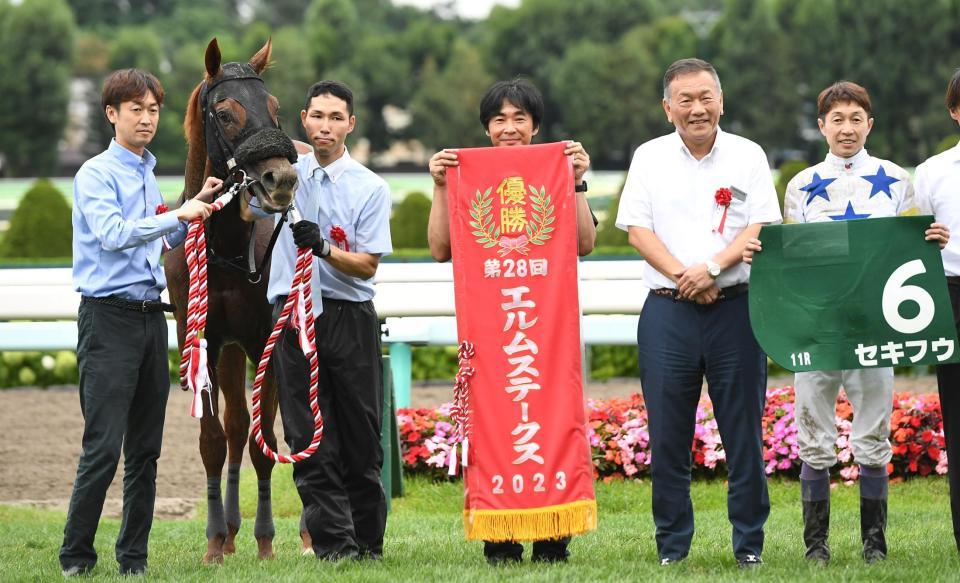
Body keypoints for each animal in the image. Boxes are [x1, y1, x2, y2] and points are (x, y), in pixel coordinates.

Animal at [165, 38, 298, 564]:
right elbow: (214, 440)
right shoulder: (201, 338)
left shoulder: (267, 340)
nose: (281, 178)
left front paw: (266, 543)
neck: (225, 251)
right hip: (226, 352)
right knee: (237, 424)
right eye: (224, 113)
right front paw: (214, 542)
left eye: (276, 108)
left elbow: (267, 443)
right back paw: (231, 530)